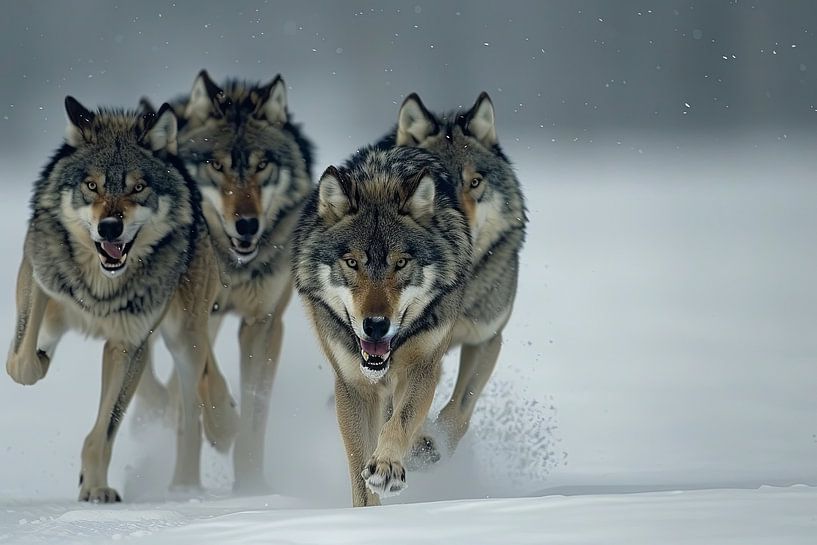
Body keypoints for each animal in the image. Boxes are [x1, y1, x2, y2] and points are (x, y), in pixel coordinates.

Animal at [5, 97, 234, 501]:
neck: (101, 287)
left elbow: (103, 433)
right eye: (91, 186)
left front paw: (95, 487)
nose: (109, 227)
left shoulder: (128, 344)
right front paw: (39, 358)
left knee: (191, 406)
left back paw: (194, 472)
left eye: (138, 187)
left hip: (183, 338)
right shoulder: (37, 277)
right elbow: (21, 362)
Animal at [136, 70, 314, 491]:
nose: (246, 224)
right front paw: (223, 425)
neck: (233, 264)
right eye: (215, 166)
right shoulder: (193, 316)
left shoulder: (263, 323)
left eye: (263, 164)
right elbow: (208, 379)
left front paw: (252, 487)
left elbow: (255, 416)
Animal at [292, 146, 472, 506]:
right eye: (352, 263)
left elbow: (400, 423)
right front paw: (367, 513)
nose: (375, 325)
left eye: (400, 263)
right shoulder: (352, 387)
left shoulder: (423, 368)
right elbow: (359, 467)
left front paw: (387, 466)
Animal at [380, 92, 528, 465]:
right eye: (435, 188)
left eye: (475, 182)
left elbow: (459, 409)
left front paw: (436, 440)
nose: (464, 233)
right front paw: (416, 443)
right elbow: (403, 406)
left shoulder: (486, 339)